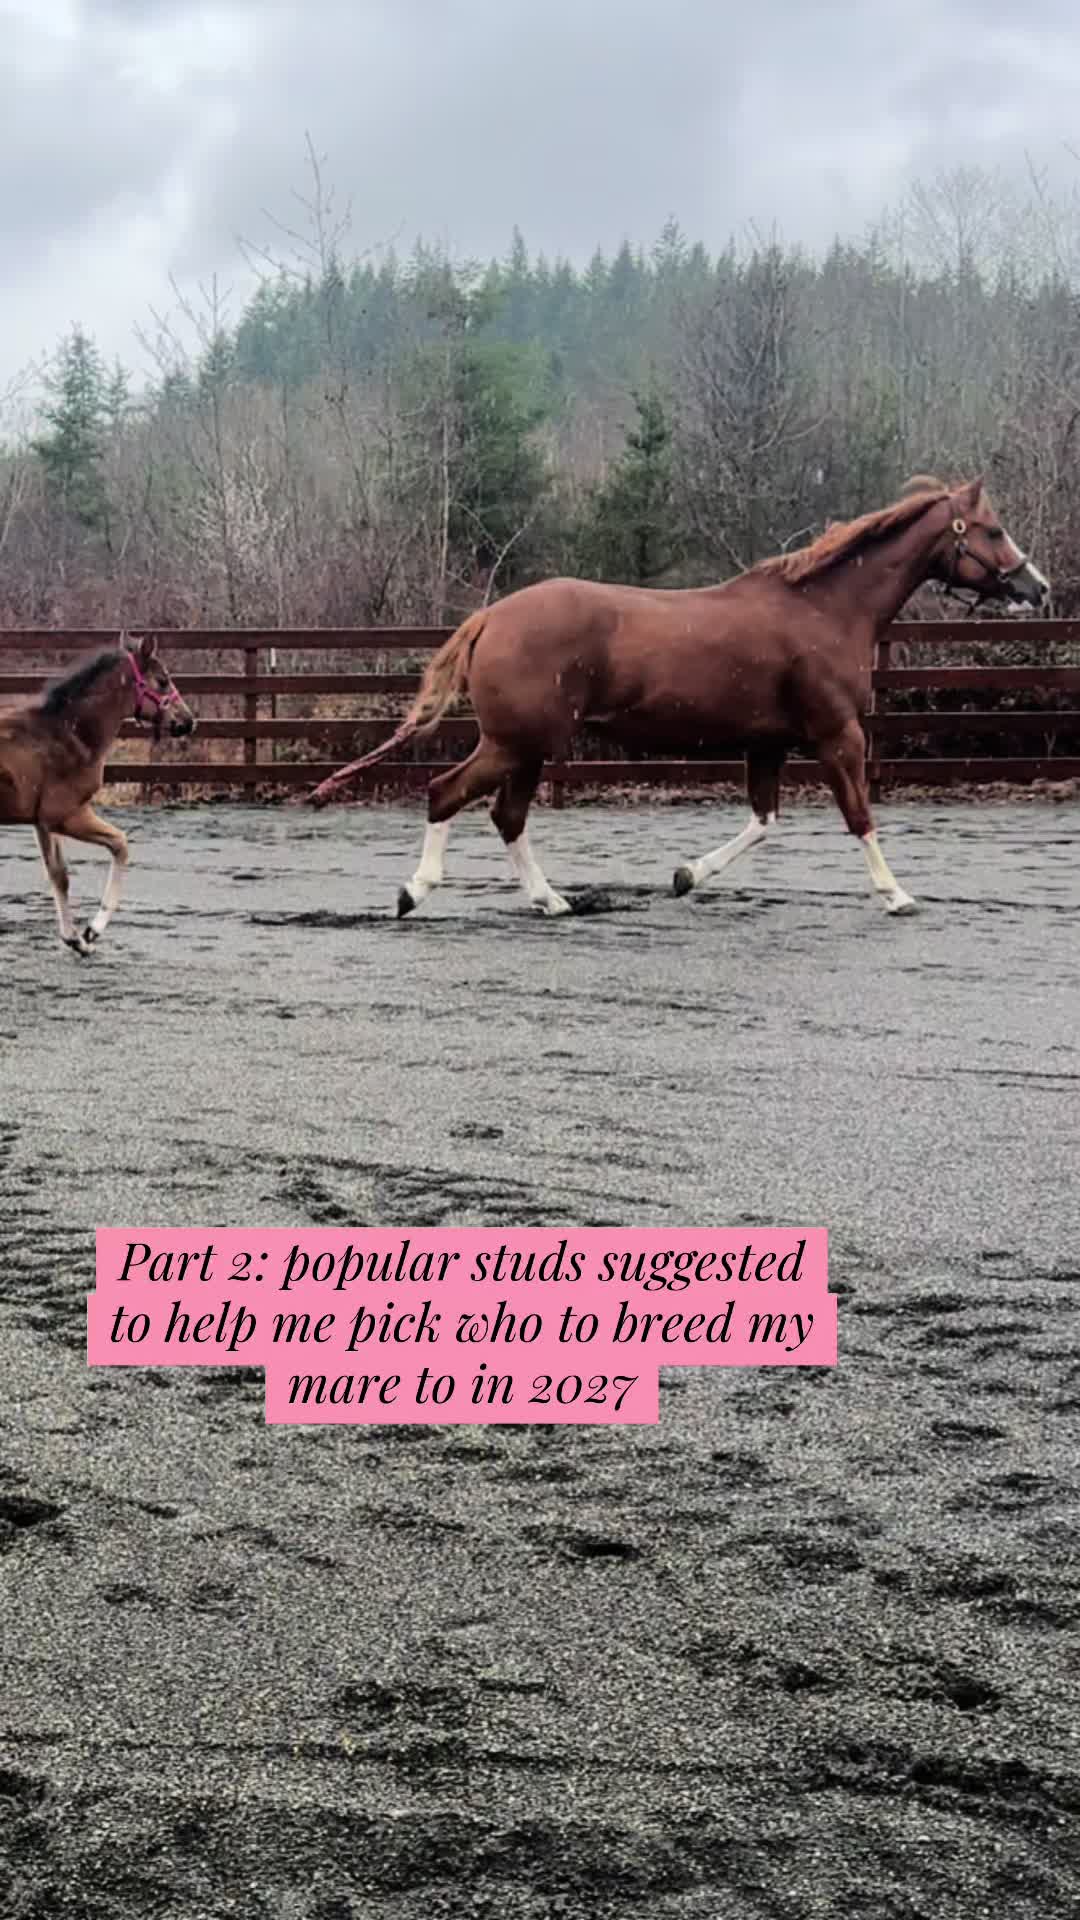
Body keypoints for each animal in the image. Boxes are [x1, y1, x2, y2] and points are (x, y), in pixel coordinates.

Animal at [0, 632, 195, 956]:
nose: (189, 721)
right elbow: (120, 845)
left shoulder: (42, 822)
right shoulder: (68, 815)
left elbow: (59, 875)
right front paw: (92, 931)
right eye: (162, 680)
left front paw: (75, 939)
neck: (71, 734)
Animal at [309, 476, 1049, 919]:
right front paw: (896, 894)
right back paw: (415, 891)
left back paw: (551, 900)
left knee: (506, 816)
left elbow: (762, 822)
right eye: (991, 529)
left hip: (529, 748)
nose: (1036, 588)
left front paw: (687, 875)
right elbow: (859, 816)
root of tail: (490, 617)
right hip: (517, 742)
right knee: (448, 794)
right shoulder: (838, 734)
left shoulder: (768, 745)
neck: (824, 609)